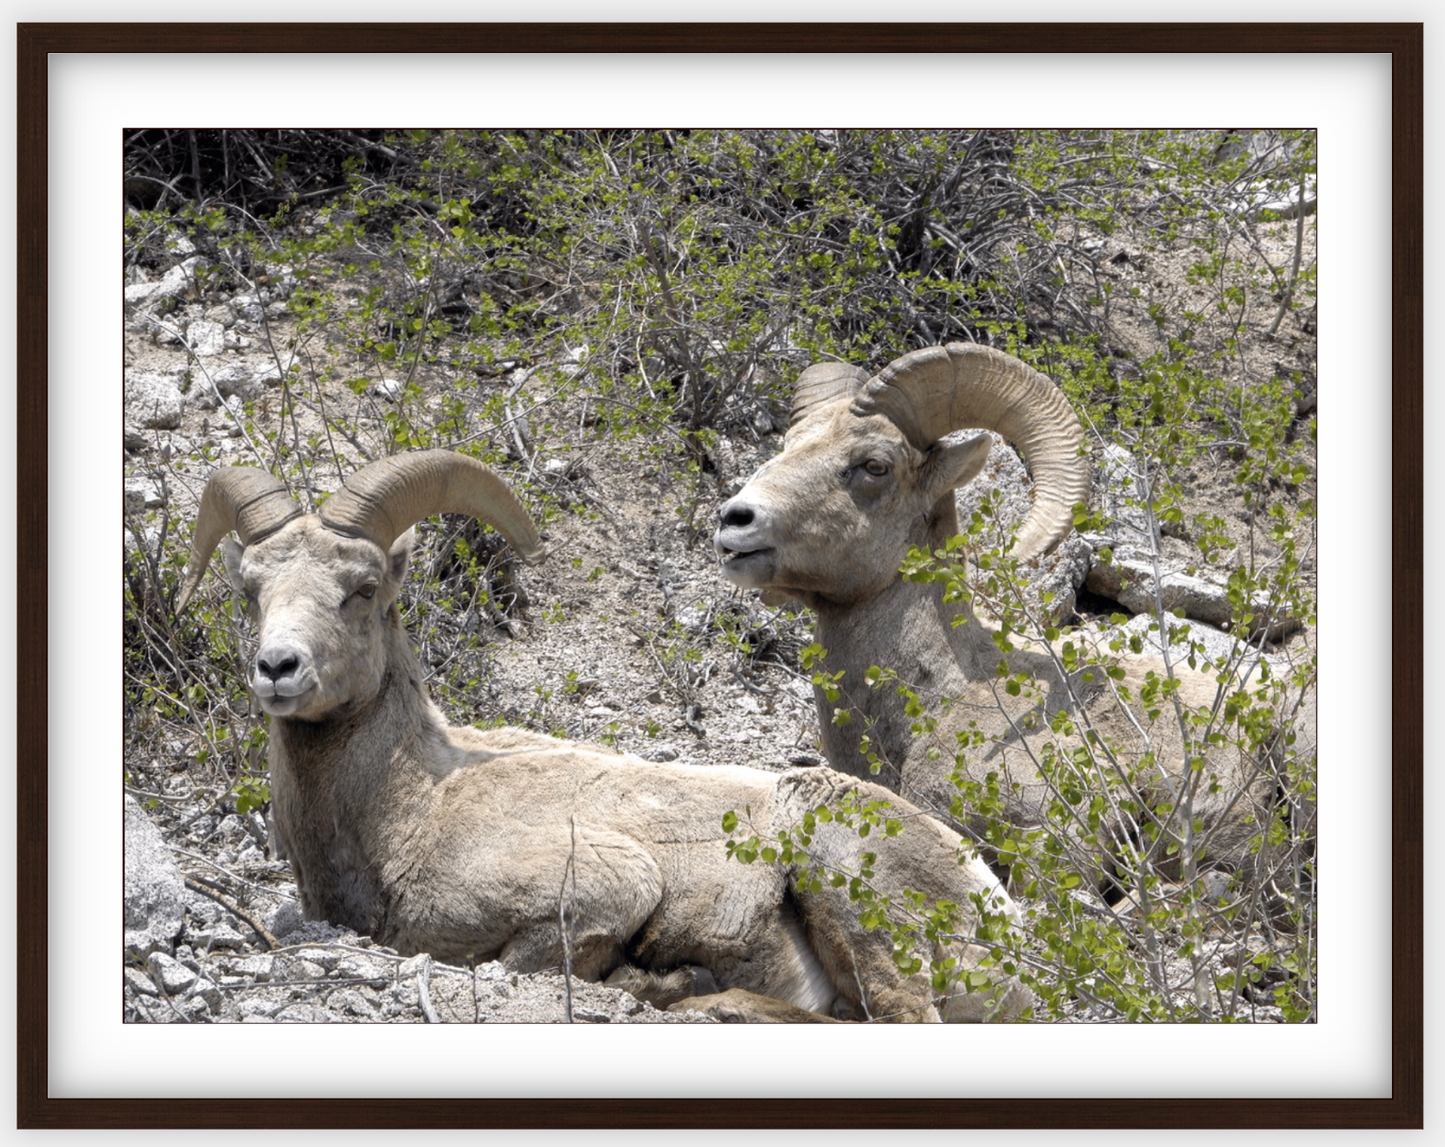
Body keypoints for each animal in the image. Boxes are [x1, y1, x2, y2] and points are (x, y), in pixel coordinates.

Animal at [180, 447, 1034, 1016]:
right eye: (251, 588)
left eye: (360, 589)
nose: (278, 668)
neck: (412, 808)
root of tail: (994, 905)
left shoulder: (602, 890)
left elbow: (544, 960)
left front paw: (662, 976)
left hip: (852, 893)